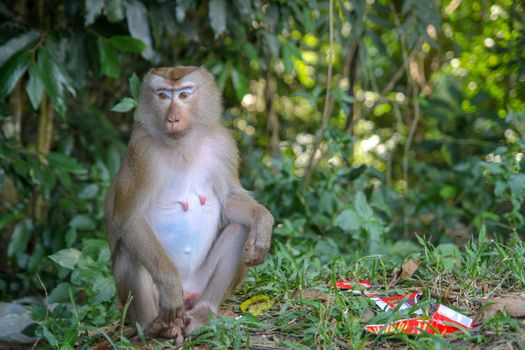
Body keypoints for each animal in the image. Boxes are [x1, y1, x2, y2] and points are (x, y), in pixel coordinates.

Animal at [103, 66, 274, 342]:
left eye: (183, 95)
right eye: (163, 96)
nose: (173, 118)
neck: (182, 144)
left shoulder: (223, 143)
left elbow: (229, 199)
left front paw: (263, 222)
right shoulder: (141, 151)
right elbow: (129, 219)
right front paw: (170, 287)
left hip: (198, 285)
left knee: (240, 229)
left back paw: (204, 313)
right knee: (129, 251)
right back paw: (154, 326)